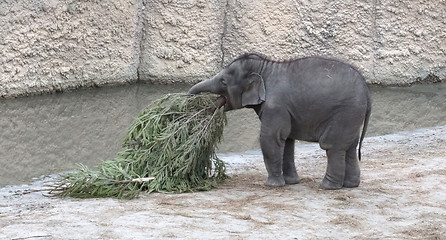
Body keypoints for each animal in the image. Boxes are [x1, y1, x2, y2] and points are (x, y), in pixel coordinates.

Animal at [189, 54, 372, 189]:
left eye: (223, 82)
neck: (264, 68)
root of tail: (367, 90)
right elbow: (287, 141)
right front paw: (291, 182)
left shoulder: (275, 106)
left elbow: (271, 138)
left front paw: (272, 185)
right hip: (352, 116)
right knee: (349, 147)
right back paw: (350, 185)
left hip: (344, 113)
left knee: (332, 146)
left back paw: (327, 187)